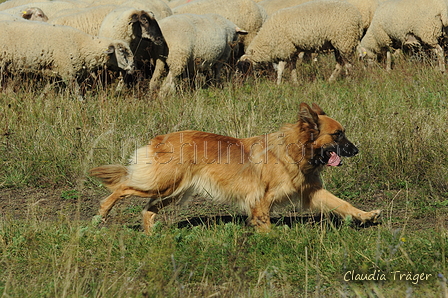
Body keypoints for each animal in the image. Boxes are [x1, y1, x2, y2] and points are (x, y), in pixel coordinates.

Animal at [0, 20, 136, 98]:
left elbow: (46, 90)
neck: (82, 45)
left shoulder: (55, 74)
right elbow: (77, 92)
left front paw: (39, 101)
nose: (133, 68)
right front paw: (82, 106)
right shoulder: (67, 71)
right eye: (122, 52)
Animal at [91, 103, 382, 233]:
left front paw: (366, 216)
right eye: (337, 135)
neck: (294, 149)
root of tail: (160, 139)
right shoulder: (261, 198)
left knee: (148, 209)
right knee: (122, 188)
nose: (356, 150)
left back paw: (151, 235)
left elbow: (343, 204)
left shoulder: (312, 192)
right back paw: (102, 212)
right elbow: (264, 223)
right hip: (164, 185)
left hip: (173, 192)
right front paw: (270, 241)